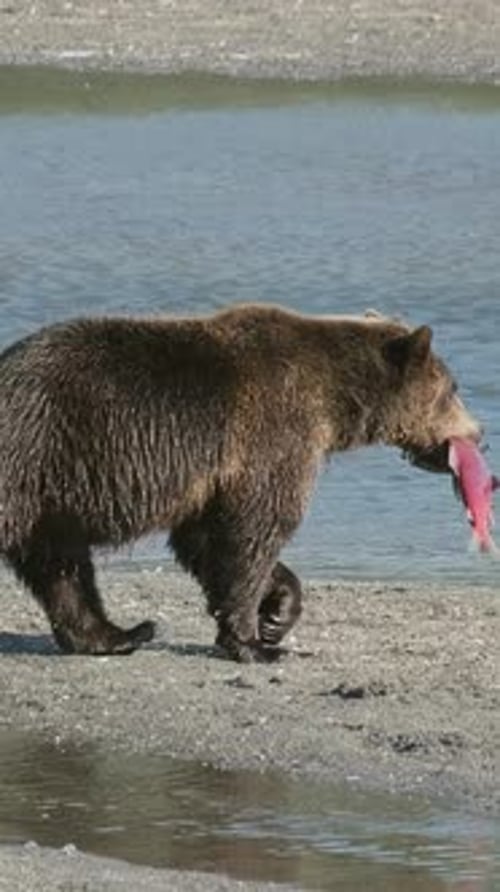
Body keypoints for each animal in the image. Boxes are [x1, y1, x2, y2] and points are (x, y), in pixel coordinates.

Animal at [0, 304, 480, 662]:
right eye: (453, 387)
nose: (478, 434)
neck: (335, 401)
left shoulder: (217, 477)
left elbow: (207, 540)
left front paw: (277, 613)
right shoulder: (273, 433)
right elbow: (255, 531)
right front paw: (255, 643)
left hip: (47, 494)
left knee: (60, 566)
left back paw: (119, 633)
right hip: (35, 449)